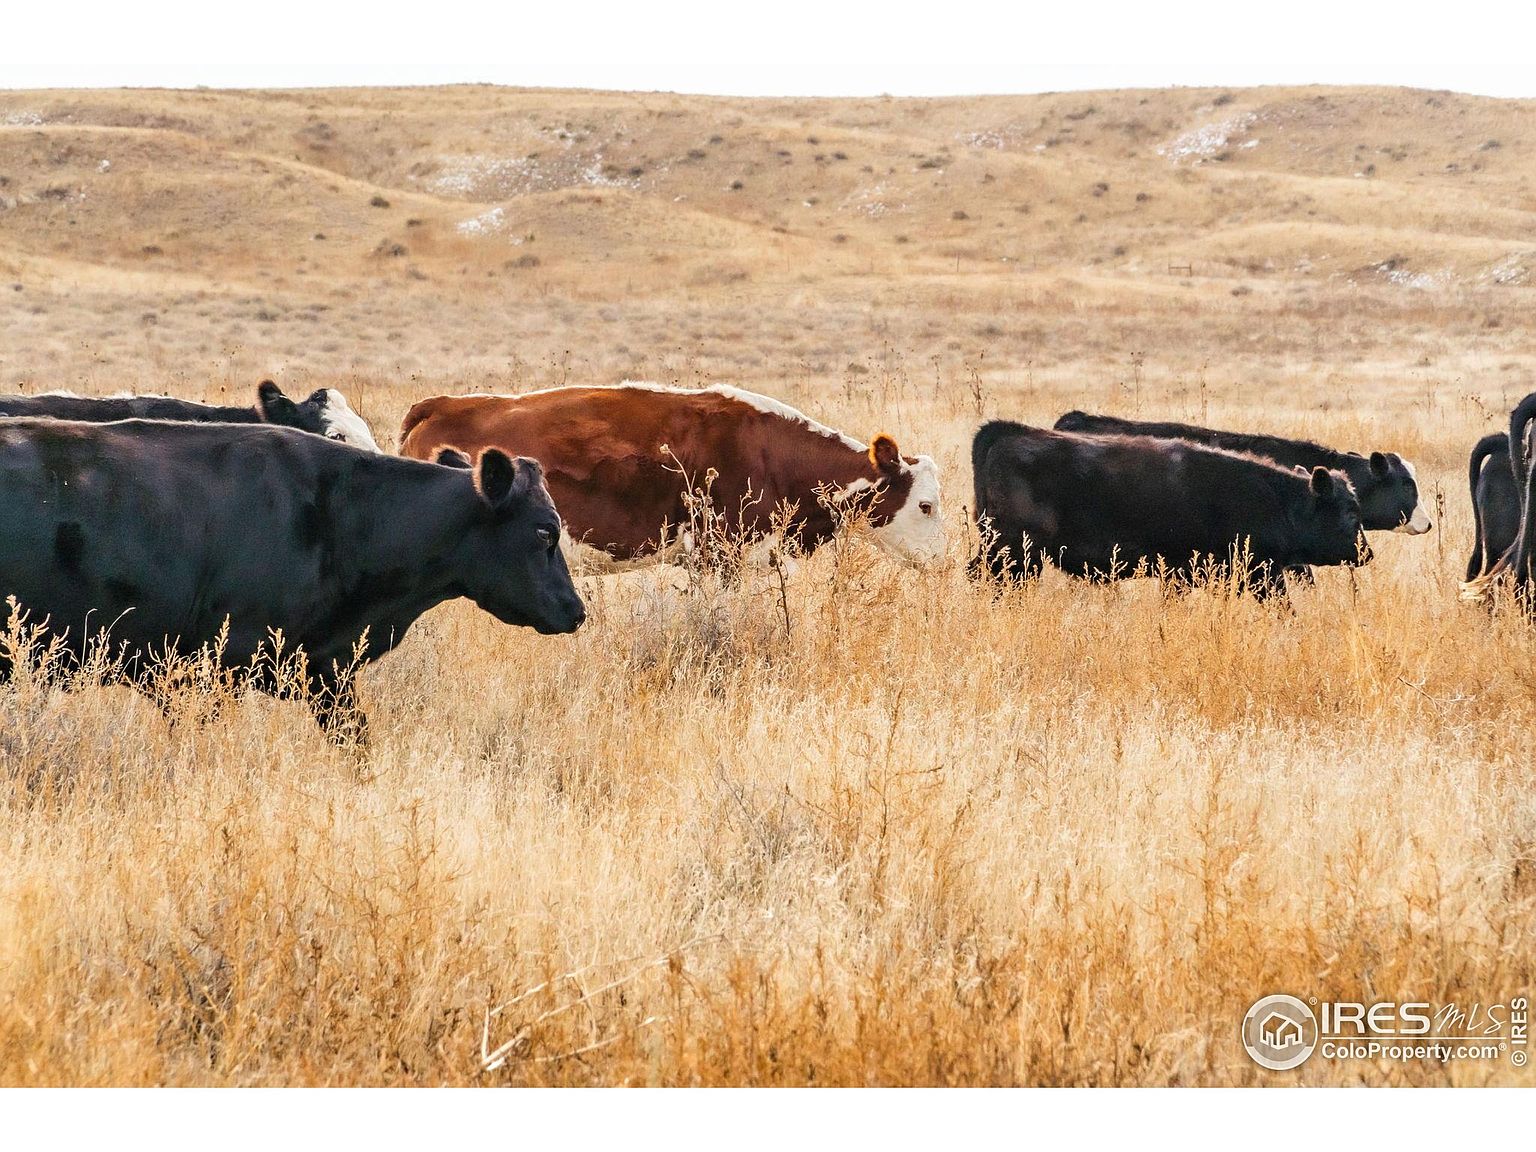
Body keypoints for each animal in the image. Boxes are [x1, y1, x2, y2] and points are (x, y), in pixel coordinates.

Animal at [970, 421, 1372, 598]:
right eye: (1351, 512)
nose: (1366, 553)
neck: (1278, 498)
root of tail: (1008, 433)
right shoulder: (1260, 575)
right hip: (1014, 553)